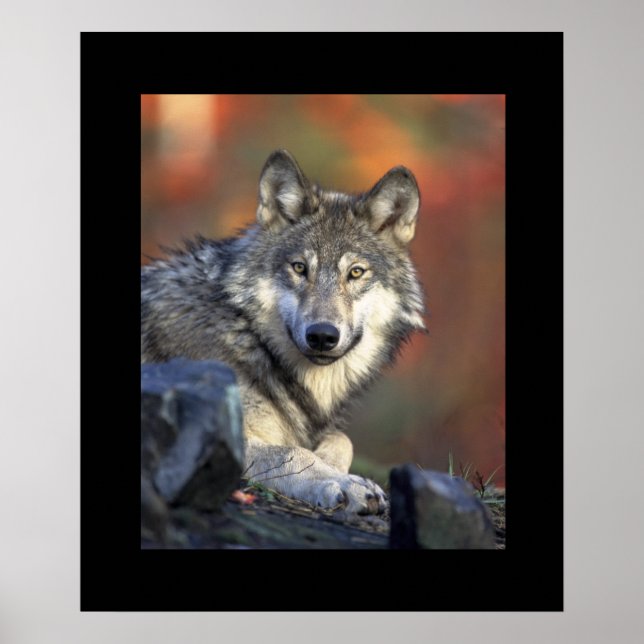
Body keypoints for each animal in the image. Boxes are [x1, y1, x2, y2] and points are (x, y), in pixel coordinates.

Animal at [141, 150, 426, 515]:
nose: (322, 335)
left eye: (356, 272)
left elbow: (341, 440)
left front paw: (335, 467)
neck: (249, 337)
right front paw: (344, 483)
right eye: (300, 268)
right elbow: (293, 452)